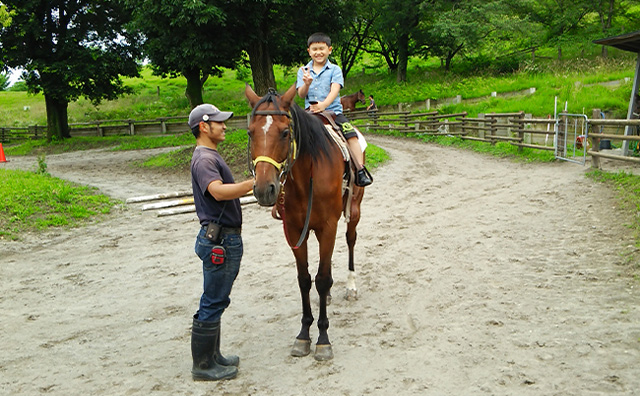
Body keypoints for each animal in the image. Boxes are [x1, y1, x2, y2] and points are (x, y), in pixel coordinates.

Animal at [245, 84, 364, 362]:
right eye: (250, 132)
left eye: (285, 132)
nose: (264, 189)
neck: (304, 177)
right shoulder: (295, 230)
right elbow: (305, 279)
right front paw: (303, 335)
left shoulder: (328, 226)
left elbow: (321, 279)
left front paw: (322, 339)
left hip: (353, 212)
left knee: (350, 241)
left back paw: (351, 286)